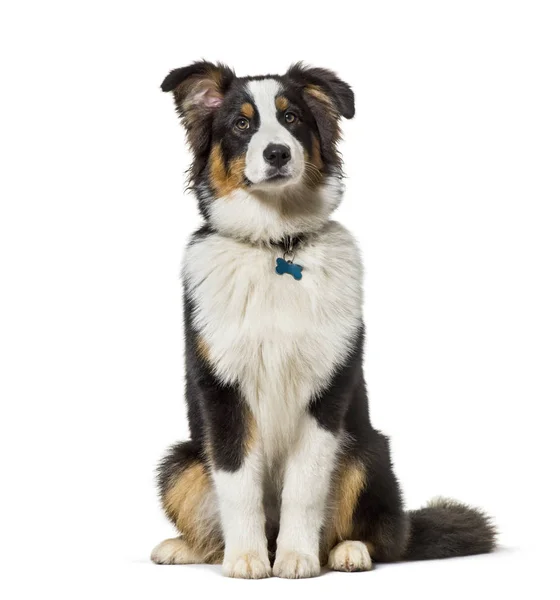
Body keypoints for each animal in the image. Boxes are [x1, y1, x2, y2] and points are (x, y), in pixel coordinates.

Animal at [151, 61, 496, 576]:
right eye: (241, 125)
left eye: (292, 117)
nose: (277, 152)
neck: (277, 245)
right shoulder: (223, 393)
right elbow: (238, 484)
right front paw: (247, 558)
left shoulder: (325, 391)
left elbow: (305, 487)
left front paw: (296, 557)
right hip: (182, 459)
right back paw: (186, 547)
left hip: (367, 451)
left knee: (383, 536)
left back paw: (347, 551)